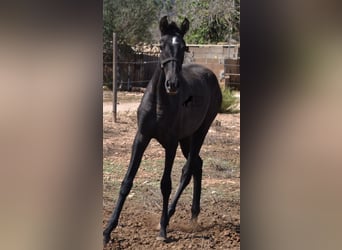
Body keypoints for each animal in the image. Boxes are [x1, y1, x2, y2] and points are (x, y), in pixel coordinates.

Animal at [103, 16, 223, 244]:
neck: (159, 102)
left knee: (187, 170)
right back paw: (193, 215)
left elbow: (165, 184)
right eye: (160, 46)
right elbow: (126, 182)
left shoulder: (171, 143)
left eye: (184, 47)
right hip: (187, 138)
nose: (172, 84)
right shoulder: (141, 137)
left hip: (200, 132)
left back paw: (168, 217)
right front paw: (107, 231)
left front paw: (162, 231)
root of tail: (211, 74)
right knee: (198, 164)